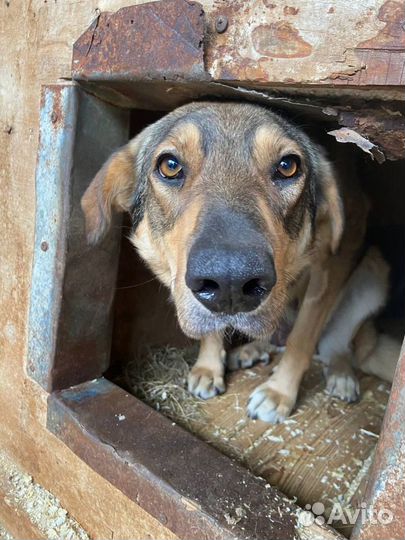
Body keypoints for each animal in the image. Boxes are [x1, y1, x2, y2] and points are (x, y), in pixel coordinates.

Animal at [79, 100, 398, 422]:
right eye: (170, 166)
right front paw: (209, 367)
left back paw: (340, 374)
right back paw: (250, 351)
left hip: (375, 271)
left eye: (287, 166)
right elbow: (213, 333)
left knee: (335, 345)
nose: (231, 281)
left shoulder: (337, 256)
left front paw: (279, 392)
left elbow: (302, 339)